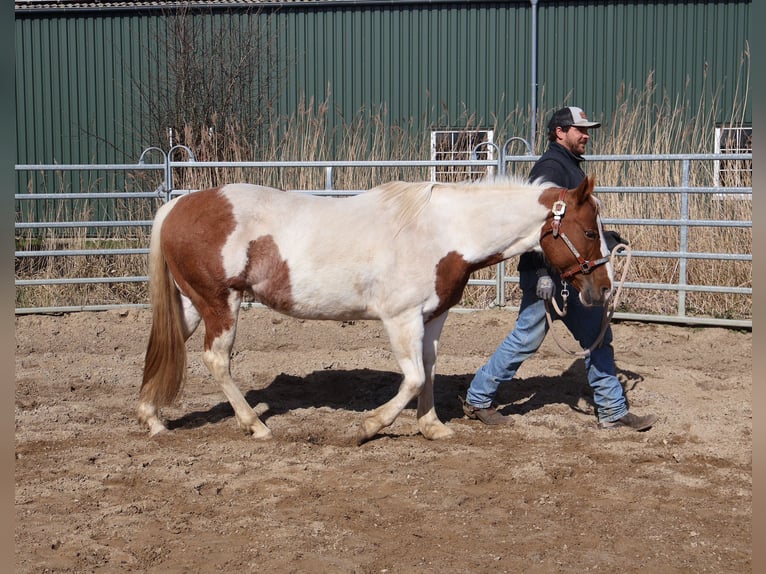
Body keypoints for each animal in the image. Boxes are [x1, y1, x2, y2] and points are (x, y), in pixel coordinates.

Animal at [138, 175, 613, 444]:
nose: (602, 290)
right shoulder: (400, 318)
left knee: (162, 349)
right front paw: (367, 427)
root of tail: (177, 204)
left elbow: (429, 370)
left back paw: (153, 419)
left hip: (191, 303)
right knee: (216, 360)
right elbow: (413, 378)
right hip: (221, 303)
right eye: (589, 232)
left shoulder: (431, 317)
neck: (442, 231)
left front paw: (432, 427)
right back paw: (255, 426)